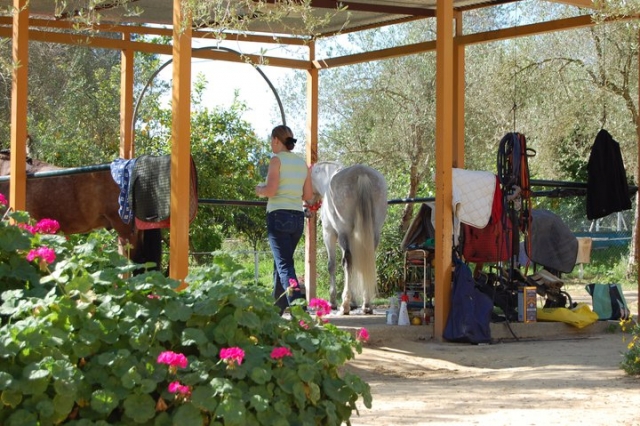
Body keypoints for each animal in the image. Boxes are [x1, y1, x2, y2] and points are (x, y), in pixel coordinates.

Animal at [310, 161, 388, 315]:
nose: (305, 208)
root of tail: (361, 173)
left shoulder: (330, 234)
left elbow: (332, 265)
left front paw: (333, 302)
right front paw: (354, 302)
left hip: (342, 233)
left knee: (348, 261)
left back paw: (344, 305)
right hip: (373, 232)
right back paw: (366, 304)